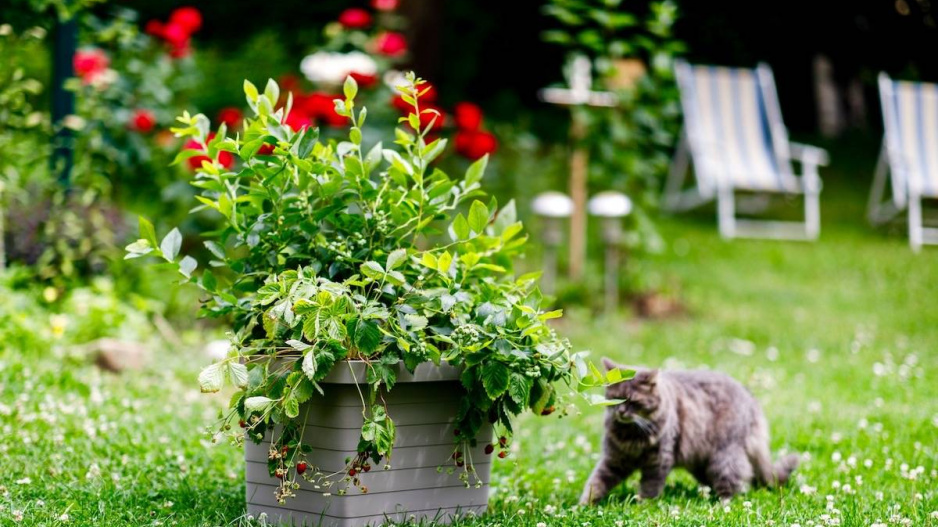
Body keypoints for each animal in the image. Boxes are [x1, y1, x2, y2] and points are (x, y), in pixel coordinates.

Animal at [576, 360, 796, 506]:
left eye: (633, 402)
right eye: (614, 399)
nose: (620, 412)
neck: (631, 435)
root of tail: (751, 398)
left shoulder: (658, 461)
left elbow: (649, 487)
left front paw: (643, 506)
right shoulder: (614, 459)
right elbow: (596, 483)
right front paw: (583, 506)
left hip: (724, 457)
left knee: (737, 481)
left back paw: (722, 505)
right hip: (702, 464)